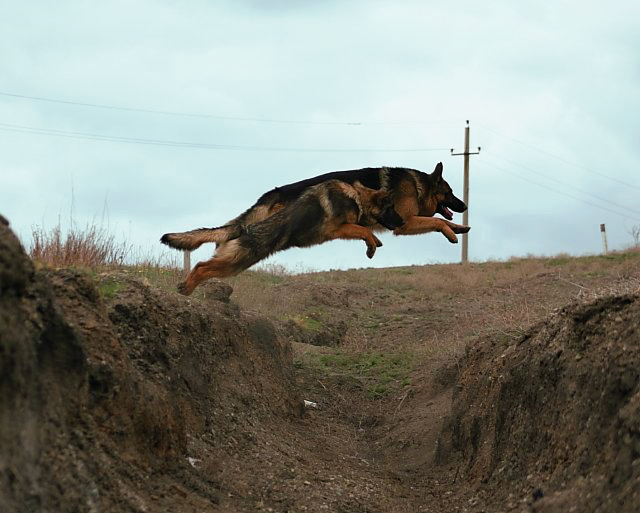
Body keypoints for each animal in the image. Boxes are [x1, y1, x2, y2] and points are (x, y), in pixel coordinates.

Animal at [162, 162, 468, 254]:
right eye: (451, 193)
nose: (464, 205)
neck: (419, 186)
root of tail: (273, 193)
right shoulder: (404, 223)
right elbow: (438, 222)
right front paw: (452, 233)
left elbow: (445, 221)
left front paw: (460, 228)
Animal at [165, 179, 404, 294]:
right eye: (391, 208)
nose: (402, 223)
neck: (357, 196)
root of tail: (242, 229)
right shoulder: (337, 229)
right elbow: (364, 230)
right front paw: (372, 245)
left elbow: (366, 231)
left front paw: (374, 243)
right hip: (236, 262)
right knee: (201, 266)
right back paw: (186, 288)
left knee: (202, 266)